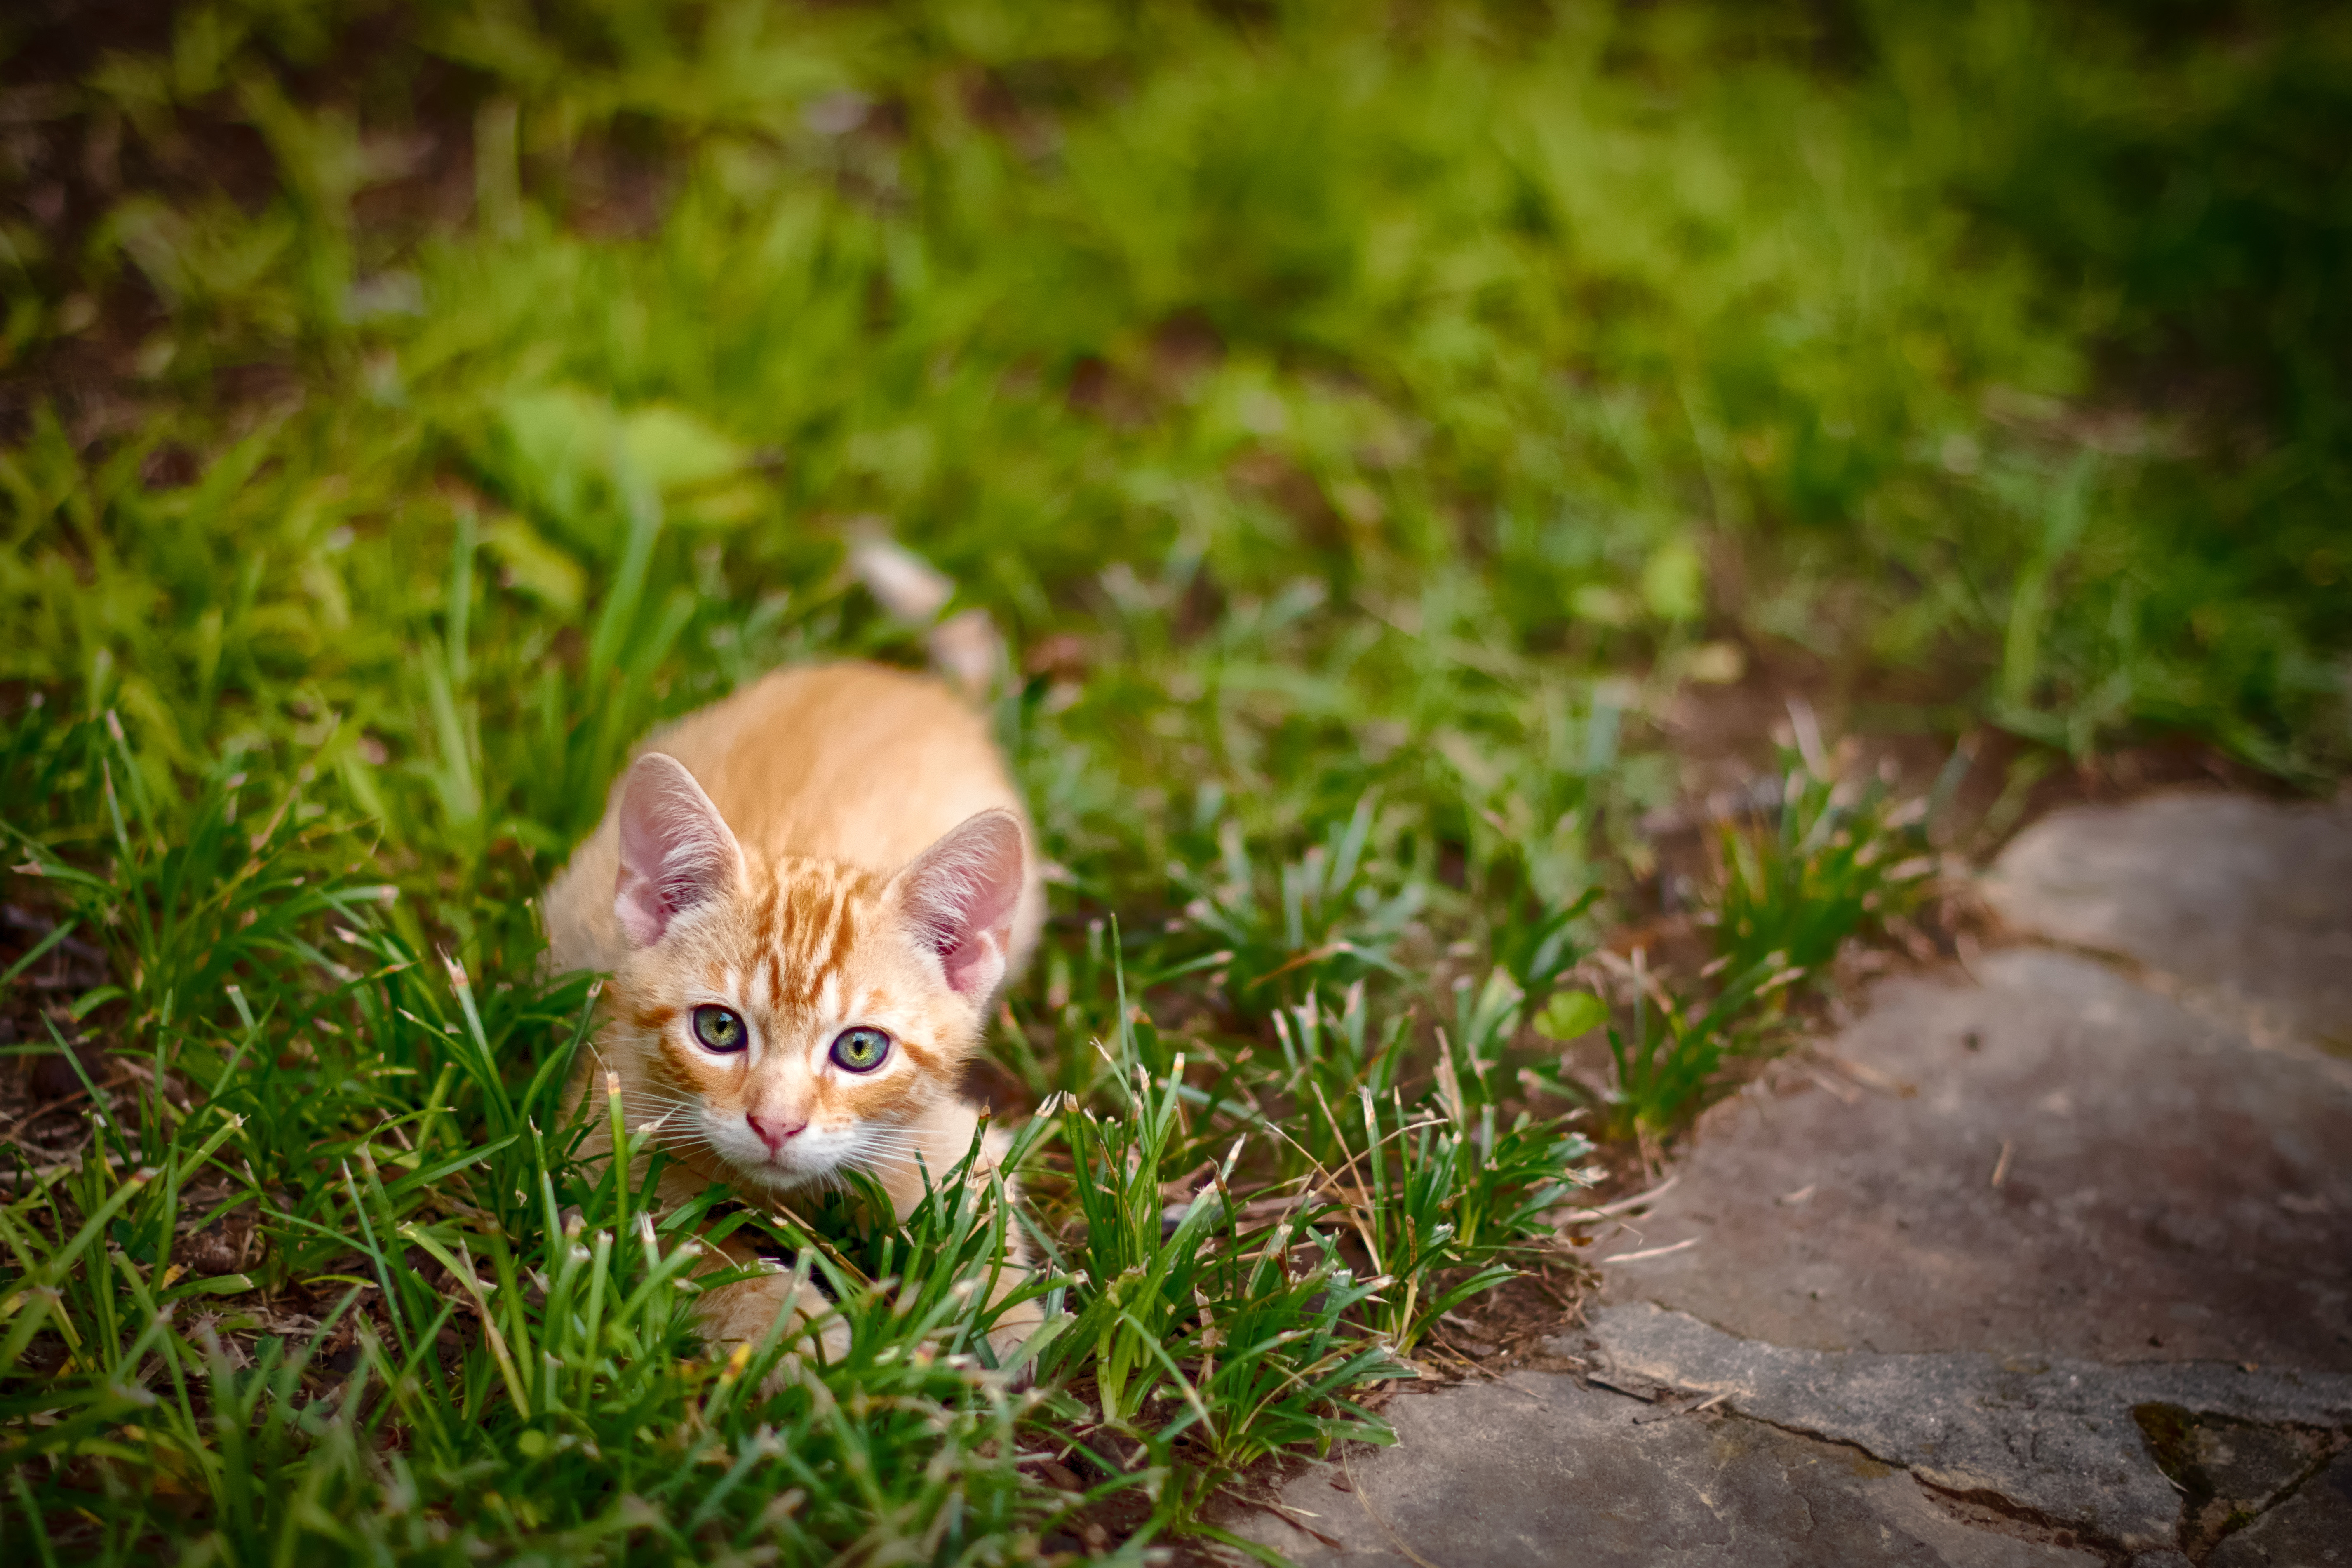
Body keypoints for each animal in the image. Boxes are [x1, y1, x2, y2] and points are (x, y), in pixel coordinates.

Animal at [545, 663, 1044, 1373]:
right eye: (719, 1029)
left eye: (861, 1049)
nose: (775, 1125)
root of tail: (884, 672)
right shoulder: (597, 1144)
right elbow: (694, 1254)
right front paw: (794, 1329)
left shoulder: (948, 1139)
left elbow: (978, 1214)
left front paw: (1010, 1320)